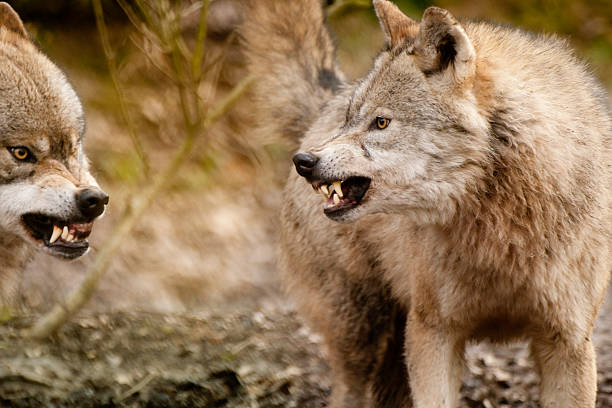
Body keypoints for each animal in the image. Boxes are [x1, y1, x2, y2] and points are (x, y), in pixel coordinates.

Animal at [243, 0, 612, 406]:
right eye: (351, 120)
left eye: (381, 122)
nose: (304, 161)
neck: (501, 230)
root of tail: (327, 101)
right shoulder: (432, 333)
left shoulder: (568, 342)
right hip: (362, 332)